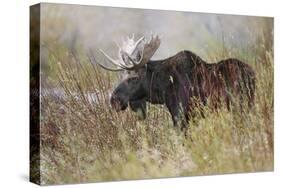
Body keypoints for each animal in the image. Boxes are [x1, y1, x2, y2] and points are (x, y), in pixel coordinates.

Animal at [95, 34, 255, 129]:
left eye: (133, 78)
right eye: (120, 76)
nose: (114, 100)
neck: (162, 88)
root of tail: (252, 74)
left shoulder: (180, 114)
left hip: (239, 105)